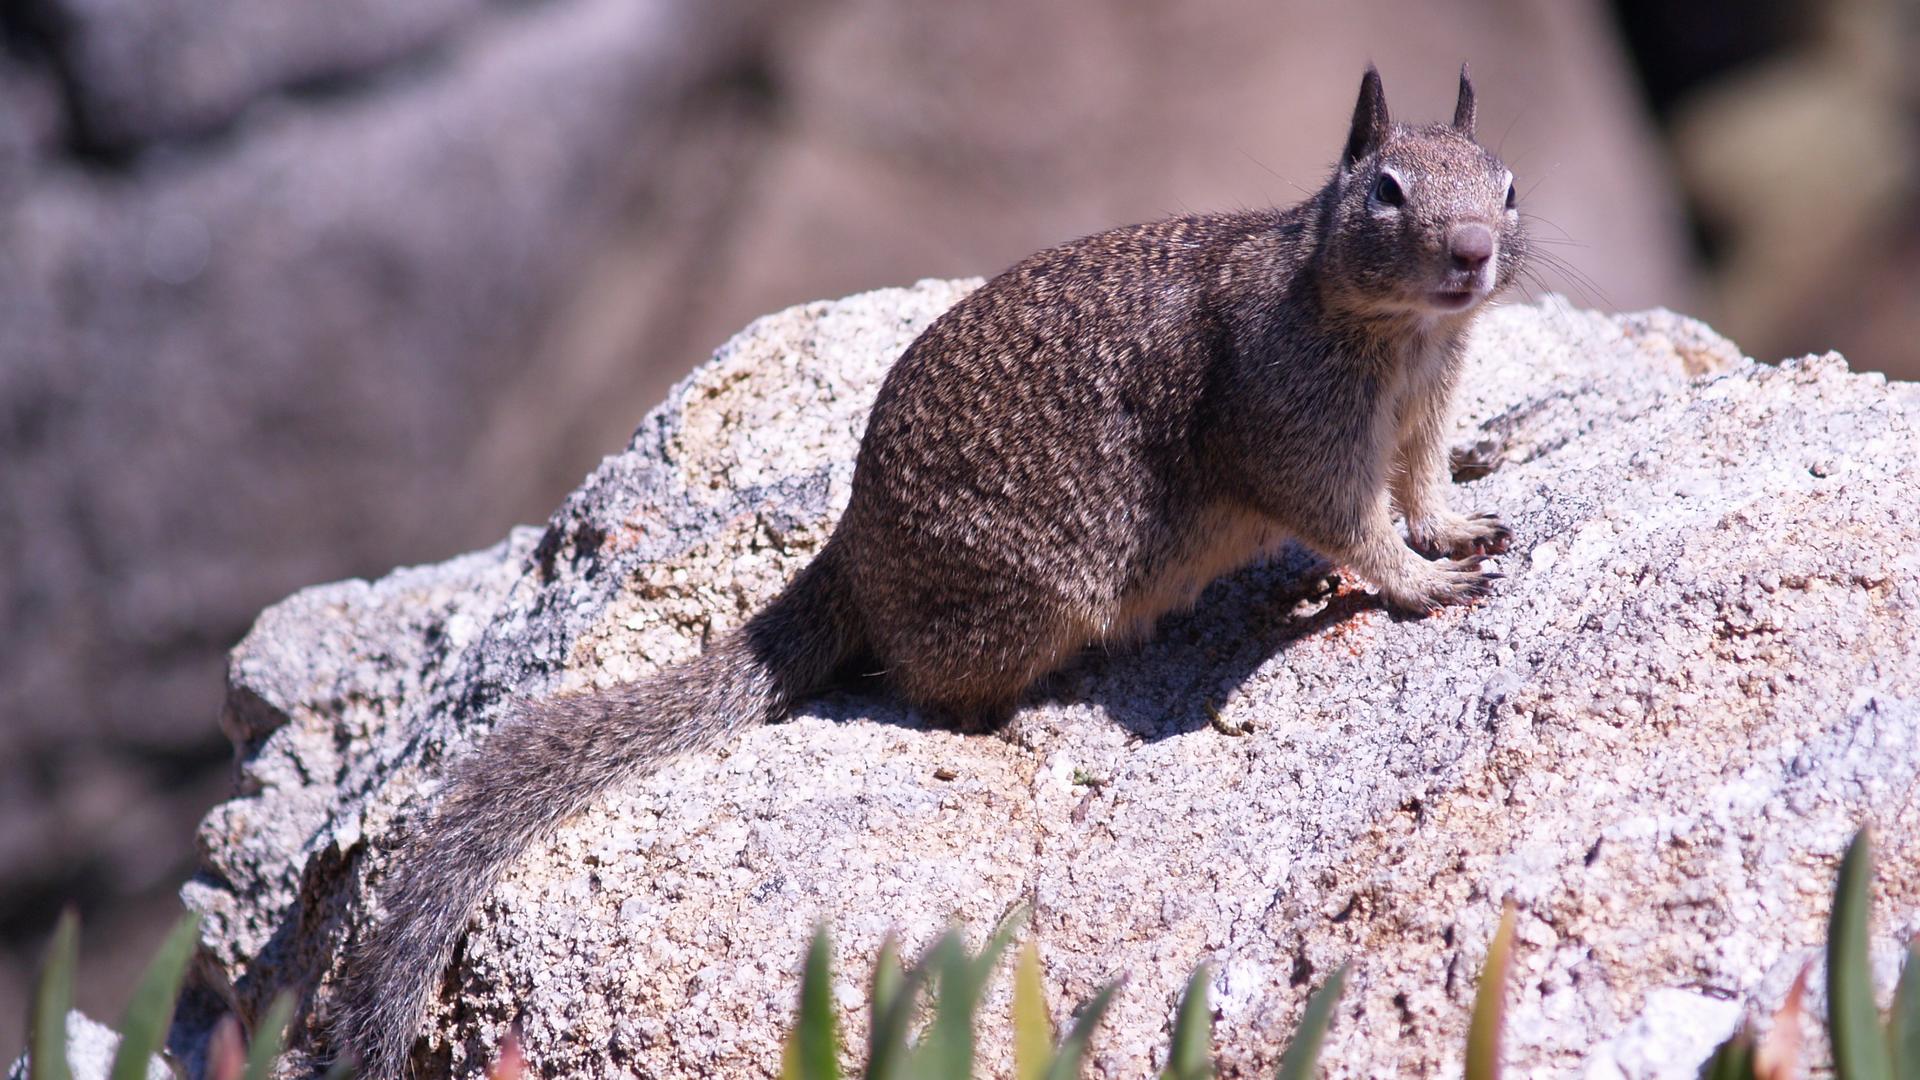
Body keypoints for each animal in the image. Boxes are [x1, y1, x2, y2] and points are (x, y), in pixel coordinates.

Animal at [333, 63, 1527, 1077]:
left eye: (1508, 186)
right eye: (1384, 191)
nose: (1473, 249)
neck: (1398, 336)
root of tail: (853, 550)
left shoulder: (1420, 415)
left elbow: (1424, 486)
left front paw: (1463, 525)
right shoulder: (1295, 434)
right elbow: (1353, 526)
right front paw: (1418, 584)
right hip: (1027, 606)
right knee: (918, 686)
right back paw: (1013, 719)